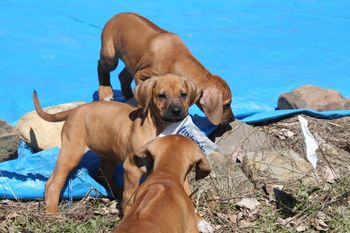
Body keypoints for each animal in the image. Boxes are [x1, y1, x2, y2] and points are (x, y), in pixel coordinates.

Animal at [32, 73, 200, 214]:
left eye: (183, 94)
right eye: (161, 96)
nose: (176, 111)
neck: (160, 127)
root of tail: (75, 110)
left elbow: (185, 190)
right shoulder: (132, 168)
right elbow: (130, 195)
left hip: (108, 153)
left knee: (104, 173)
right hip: (71, 153)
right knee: (53, 183)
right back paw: (52, 213)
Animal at [97, 12, 234, 125]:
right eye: (226, 104)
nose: (232, 119)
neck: (177, 59)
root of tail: (115, 16)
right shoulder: (141, 75)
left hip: (132, 62)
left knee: (123, 77)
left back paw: (128, 96)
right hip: (110, 56)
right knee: (101, 66)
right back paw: (105, 91)